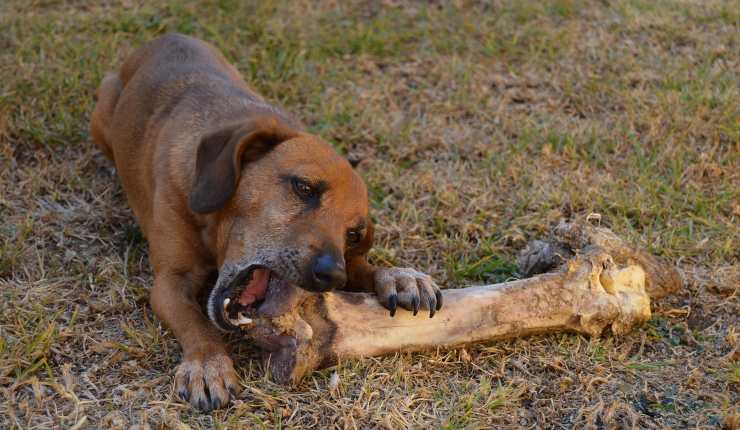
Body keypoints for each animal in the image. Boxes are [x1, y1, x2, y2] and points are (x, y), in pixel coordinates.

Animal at [90, 33, 442, 410]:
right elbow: (196, 322)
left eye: (352, 234)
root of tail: (165, 37)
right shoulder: (170, 282)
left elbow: (365, 268)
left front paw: (399, 277)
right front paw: (208, 364)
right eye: (304, 188)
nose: (333, 276)